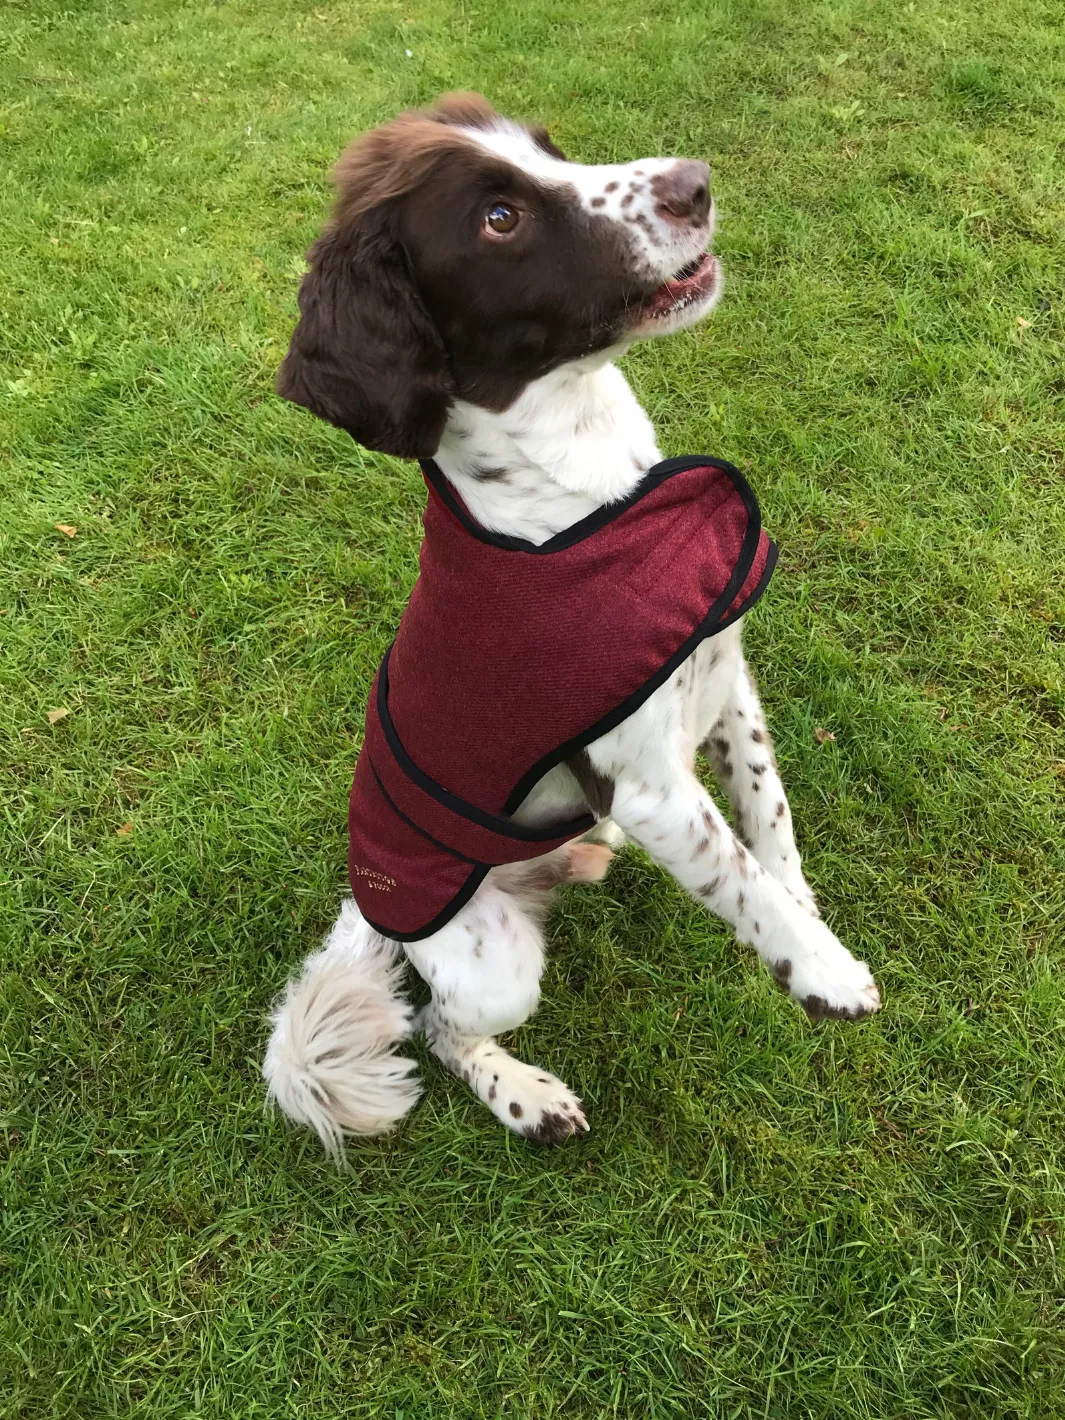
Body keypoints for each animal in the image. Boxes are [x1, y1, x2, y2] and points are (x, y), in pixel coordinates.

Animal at [262, 91, 880, 1153]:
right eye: (498, 219)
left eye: (546, 148)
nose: (694, 183)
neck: (587, 491)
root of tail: (368, 904)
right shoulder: (647, 786)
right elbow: (736, 873)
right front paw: (822, 971)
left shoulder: (726, 686)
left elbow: (770, 822)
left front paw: (810, 918)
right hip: (492, 963)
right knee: (437, 1028)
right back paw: (526, 1097)